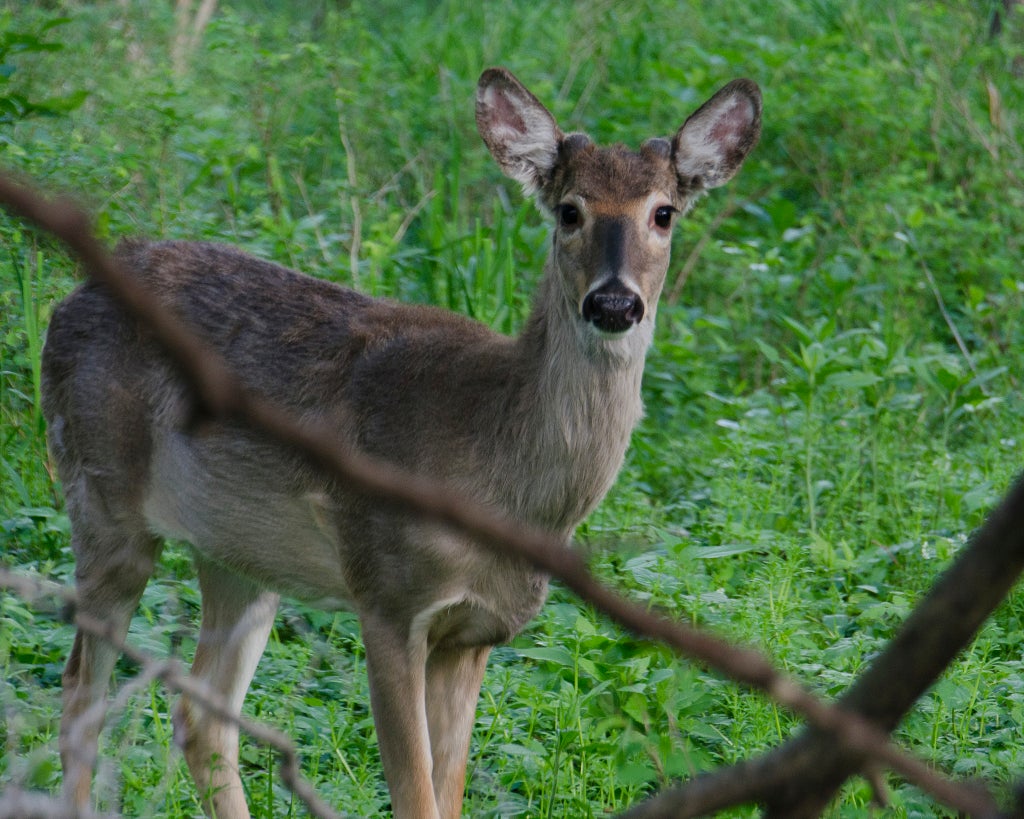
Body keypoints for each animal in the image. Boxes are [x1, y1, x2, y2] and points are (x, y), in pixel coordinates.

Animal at [39, 67, 761, 814]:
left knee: (202, 715)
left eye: (664, 213)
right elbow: (416, 795)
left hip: (237, 553)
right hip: (100, 497)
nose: (614, 302)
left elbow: (449, 794)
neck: (503, 475)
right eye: (568, 210)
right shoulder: (387, 595)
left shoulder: (475, 633)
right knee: (79, 692)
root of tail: (70, 299)